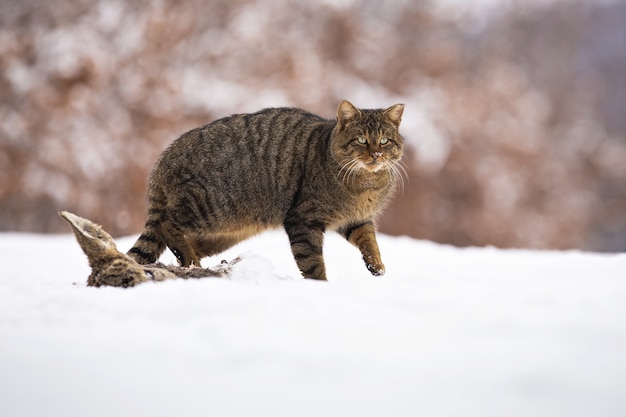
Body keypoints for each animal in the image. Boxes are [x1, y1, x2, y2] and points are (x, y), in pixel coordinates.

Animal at [129, 100, 408, 280]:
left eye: (384, 140)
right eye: (361, 139)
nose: (376, 154)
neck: (367, 185)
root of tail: (163, 159)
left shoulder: (356, 219)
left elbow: (370, 242)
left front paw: (378, 267)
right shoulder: (303, 218)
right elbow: (312, 262)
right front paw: (320, 286)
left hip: (223, 233)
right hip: (209, 207)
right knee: (167, 224)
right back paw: (188, 258)